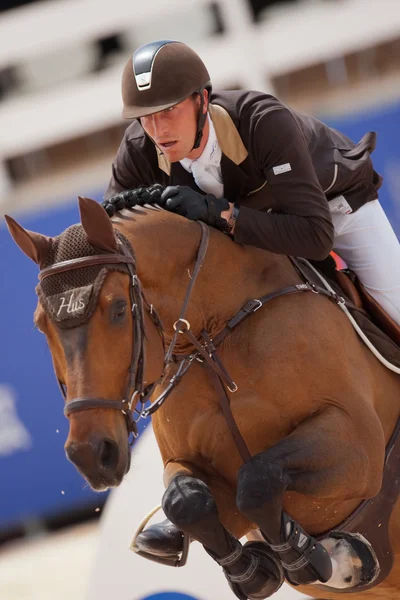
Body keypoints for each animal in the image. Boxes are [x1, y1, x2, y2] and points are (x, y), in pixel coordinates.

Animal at [5, 198, 400, 600]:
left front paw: (312, 556)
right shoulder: (194, 468)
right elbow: (186, 502)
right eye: (41, 323)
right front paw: (256, 571)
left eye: (117, 309)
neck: (215, 335)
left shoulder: (357, 446)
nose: (90, 454)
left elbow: (258, 480)